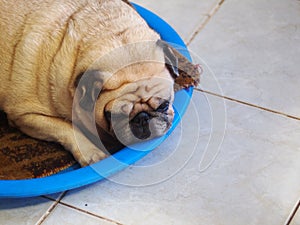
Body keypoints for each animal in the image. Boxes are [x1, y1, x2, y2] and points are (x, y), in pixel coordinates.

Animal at [0, 0, 202, 165]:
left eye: (164, 105)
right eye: (114, 116)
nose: (143, 119)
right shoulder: (25, 115)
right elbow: (66, 128)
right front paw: (91, 152)